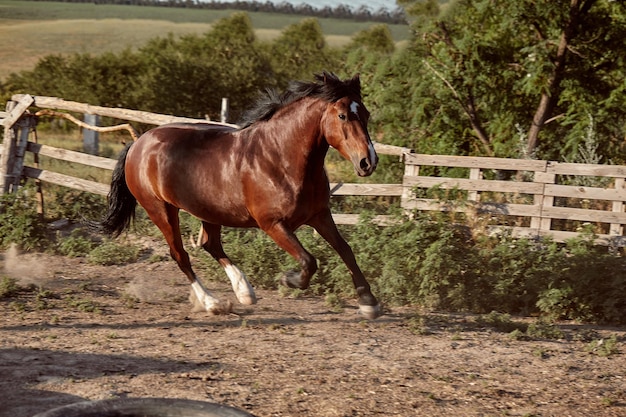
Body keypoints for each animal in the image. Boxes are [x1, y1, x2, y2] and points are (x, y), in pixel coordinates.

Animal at [97, 71, 380, 318]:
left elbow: (346, 250)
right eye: (342, 115)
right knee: (180, 254)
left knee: (210, 244)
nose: (368, 162)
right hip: (161, 210)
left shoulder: (319, 215)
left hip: (208, 210)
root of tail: (139, 143)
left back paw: (244, 292)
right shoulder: (273, 224)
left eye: (365, 114)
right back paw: (212, 303)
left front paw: (369, 303)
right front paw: (288, 280)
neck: (281, 157)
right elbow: (309, 261)